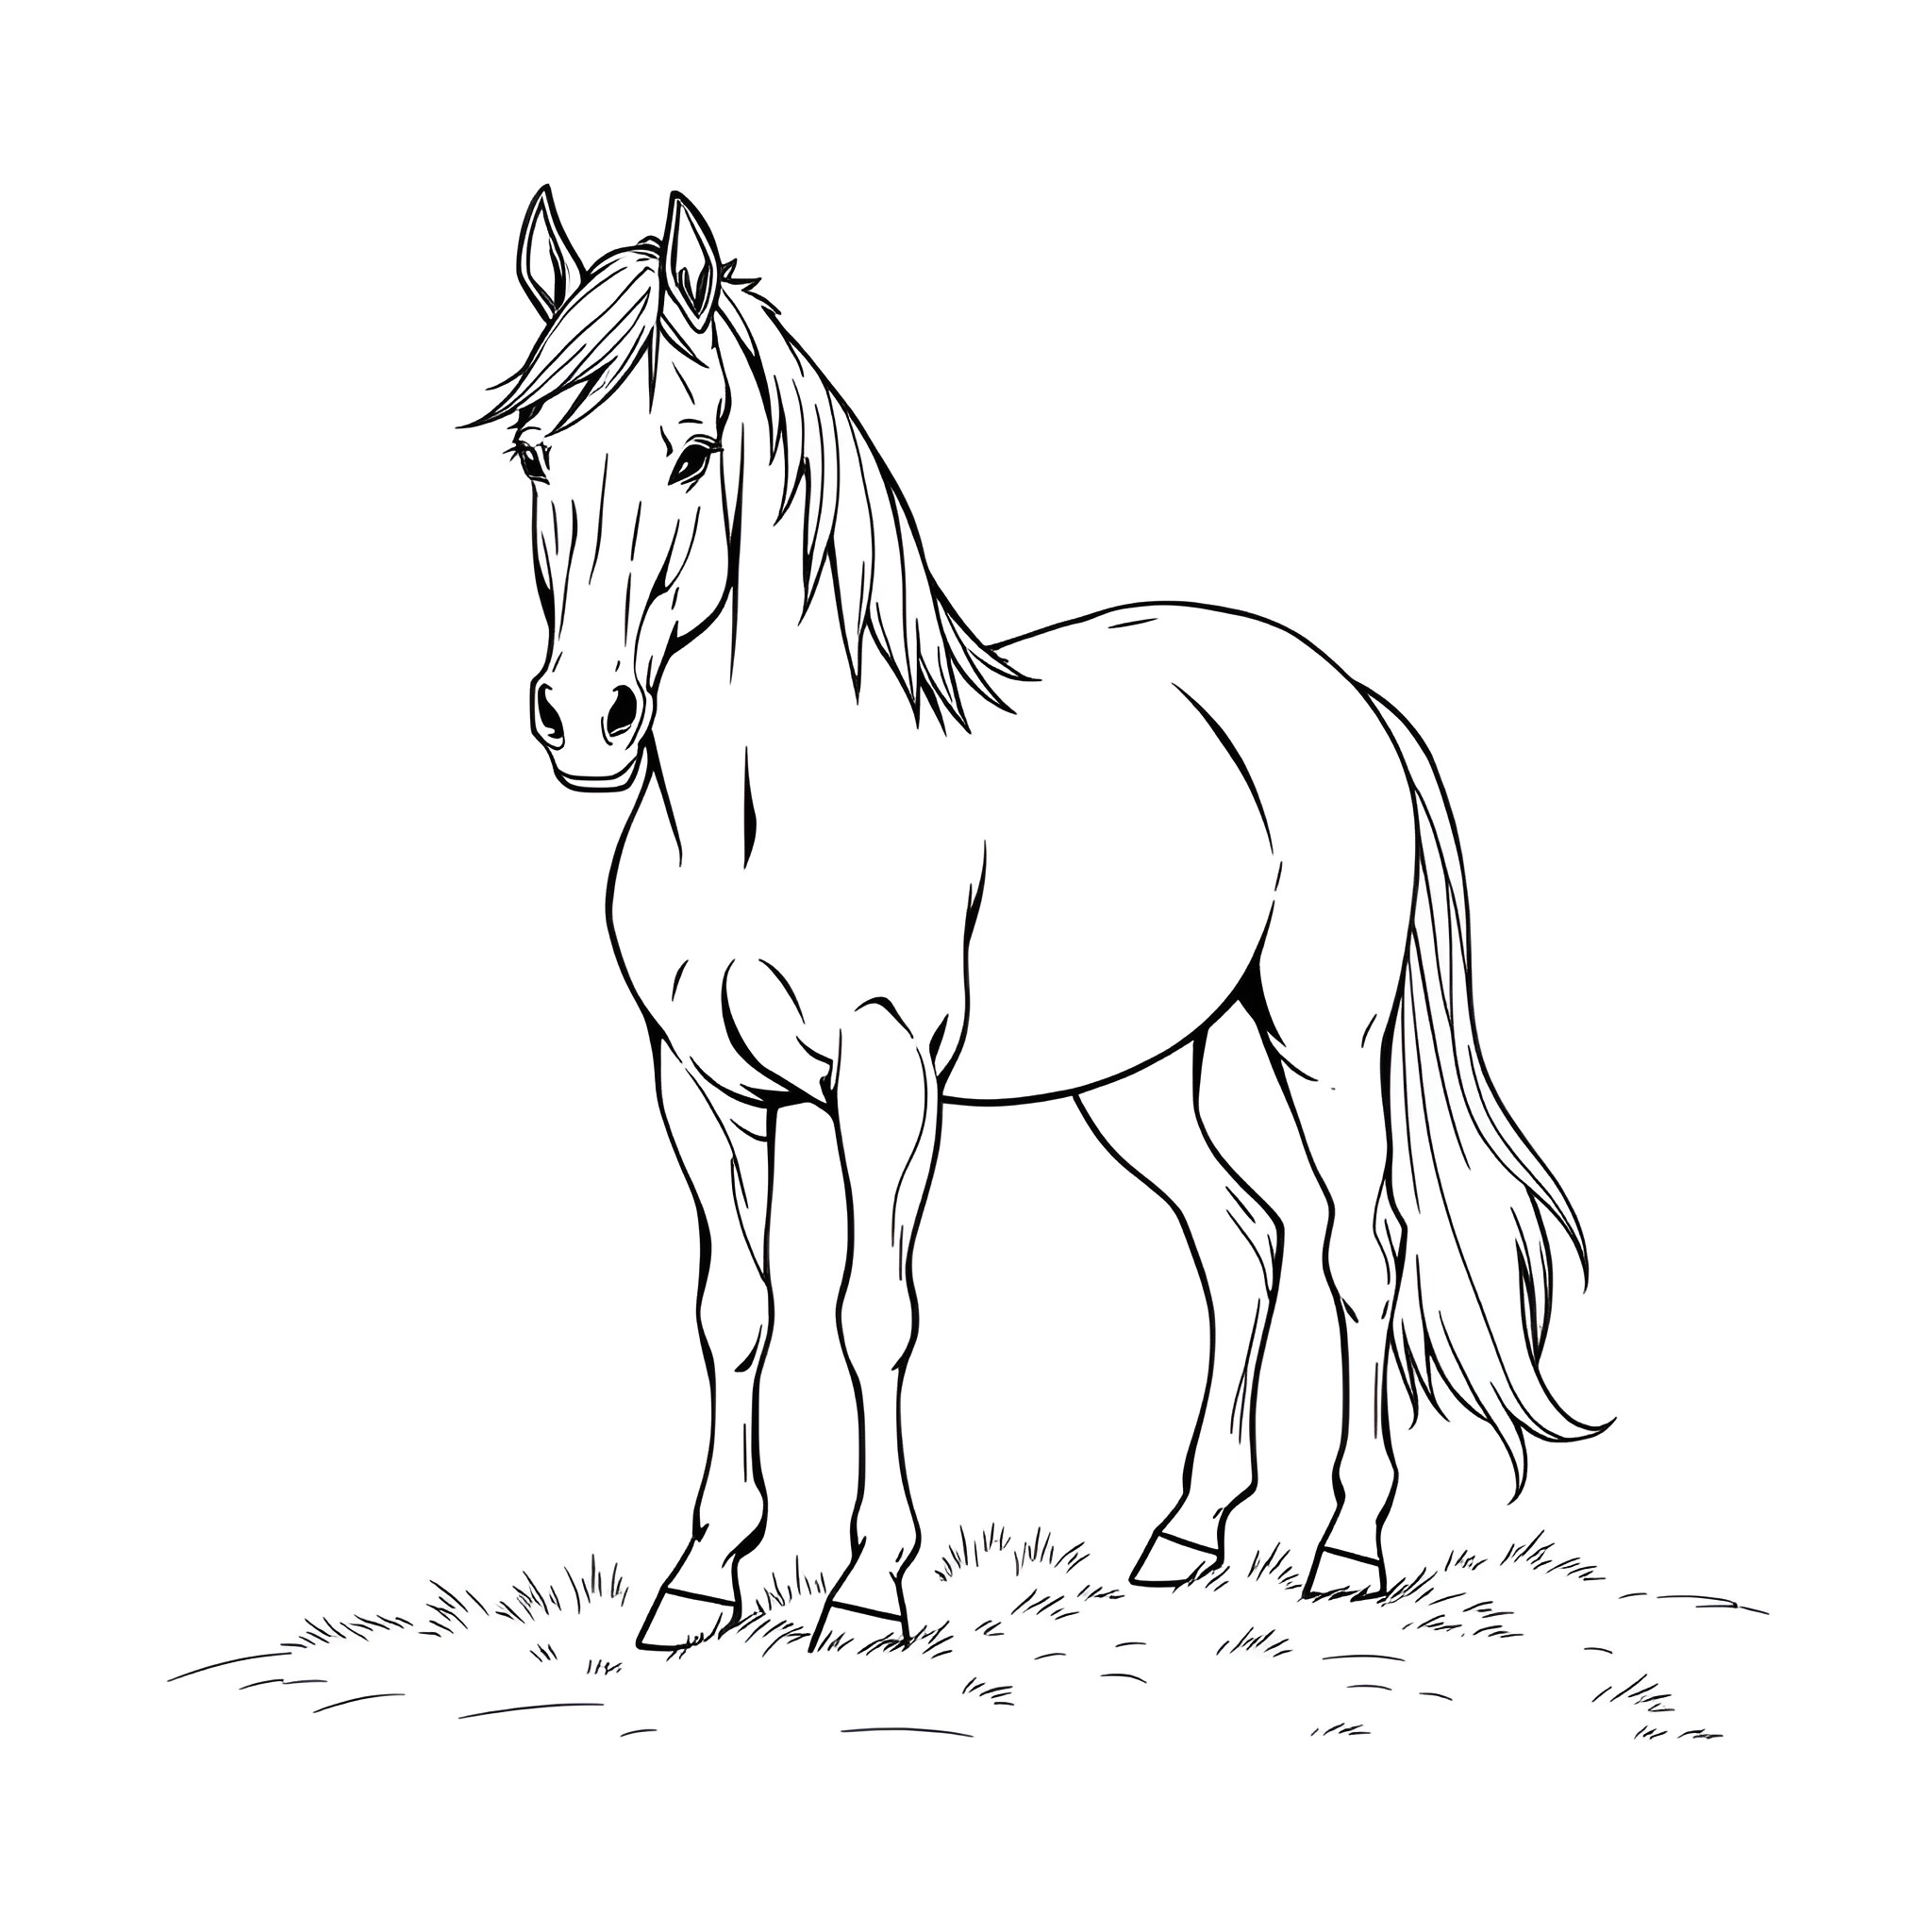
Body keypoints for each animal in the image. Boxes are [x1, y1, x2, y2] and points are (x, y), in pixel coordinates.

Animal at [474, 187, 1600, 1652]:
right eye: (535, 455)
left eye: (692, 449)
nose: (583, 717)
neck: (758, 808)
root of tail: (1342, 692)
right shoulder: (702, 1086)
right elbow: (736, 1315)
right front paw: (701, 1577)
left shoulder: (884, 1072)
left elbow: (871, 1315)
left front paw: (867, 1589)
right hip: (1135, 1076)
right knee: (1242, 1241)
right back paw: (1184, 1535)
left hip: (1324, 1045)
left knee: (1363, 1250)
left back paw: (1349, 1547)